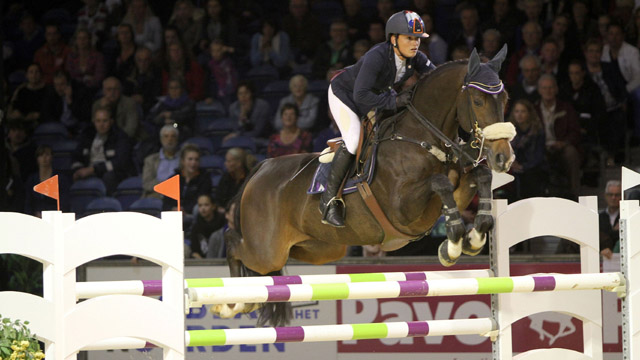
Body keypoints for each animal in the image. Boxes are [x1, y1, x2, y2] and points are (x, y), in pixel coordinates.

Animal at [215, 47, 516, 326]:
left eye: (505, 99)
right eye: (477, 100)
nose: (504, 157)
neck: (420, 137)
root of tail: (261, 168)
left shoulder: (455, 191)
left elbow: (480, 176)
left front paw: (475, 236)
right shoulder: (403, 208)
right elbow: (439, 181)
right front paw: (453, 243)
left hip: (318, 248)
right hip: (267, 250)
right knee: (234, 243)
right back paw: (232, 304)